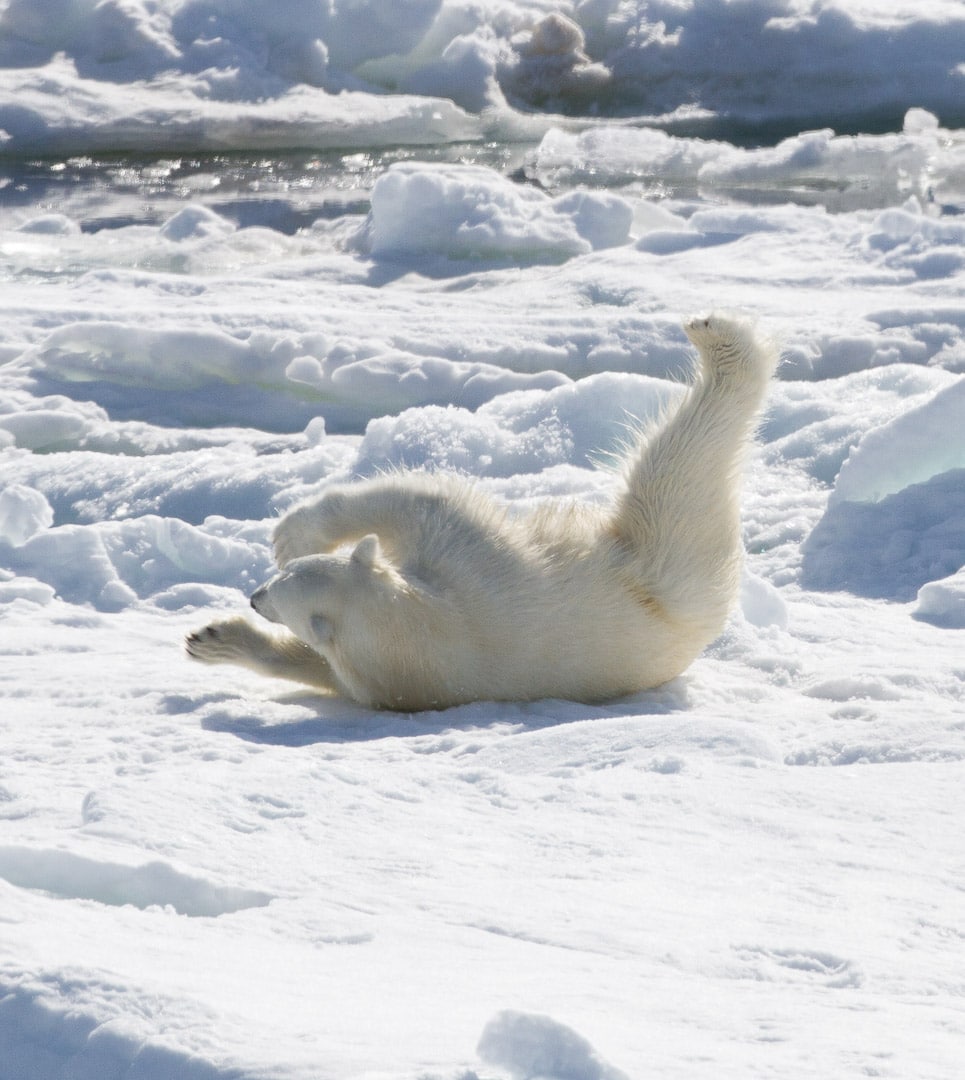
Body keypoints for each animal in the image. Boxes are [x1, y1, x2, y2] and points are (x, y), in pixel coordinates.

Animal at [186, 312, 778, 711]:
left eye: (285, 581)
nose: (255, 595)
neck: (417, 633)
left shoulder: (464, 567)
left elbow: (419, 501)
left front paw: (293, 532)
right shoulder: (391, 678)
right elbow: (321, 668)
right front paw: (212, 641)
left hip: (662, 572)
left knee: (677, 469)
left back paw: (715, 339)